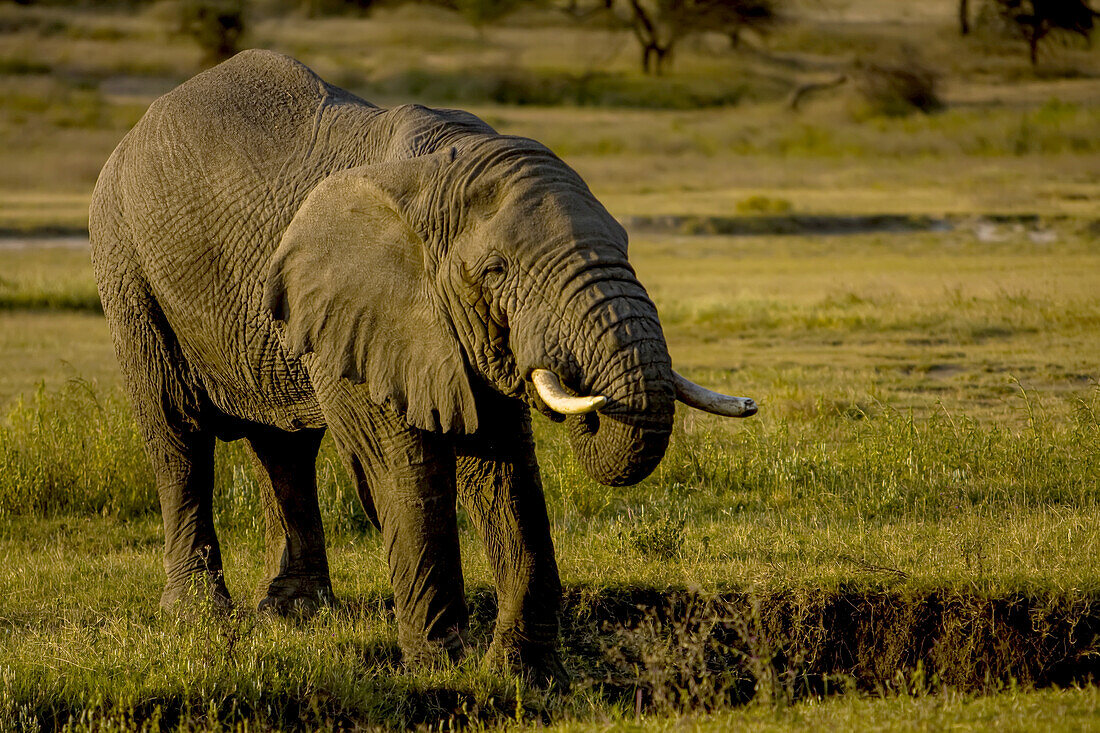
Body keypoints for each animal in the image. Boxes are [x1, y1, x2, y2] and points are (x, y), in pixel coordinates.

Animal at [90, 48, 752, 682]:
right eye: (496, 271)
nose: (591, 399)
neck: (445, 166)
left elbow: (506, 465)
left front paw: (526, 674)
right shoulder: (370, 308)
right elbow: (403, 465)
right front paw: (441, 670)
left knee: (284, 448)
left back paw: (298, 612)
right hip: (126, 266)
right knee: (178, 436)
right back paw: (200, 615)